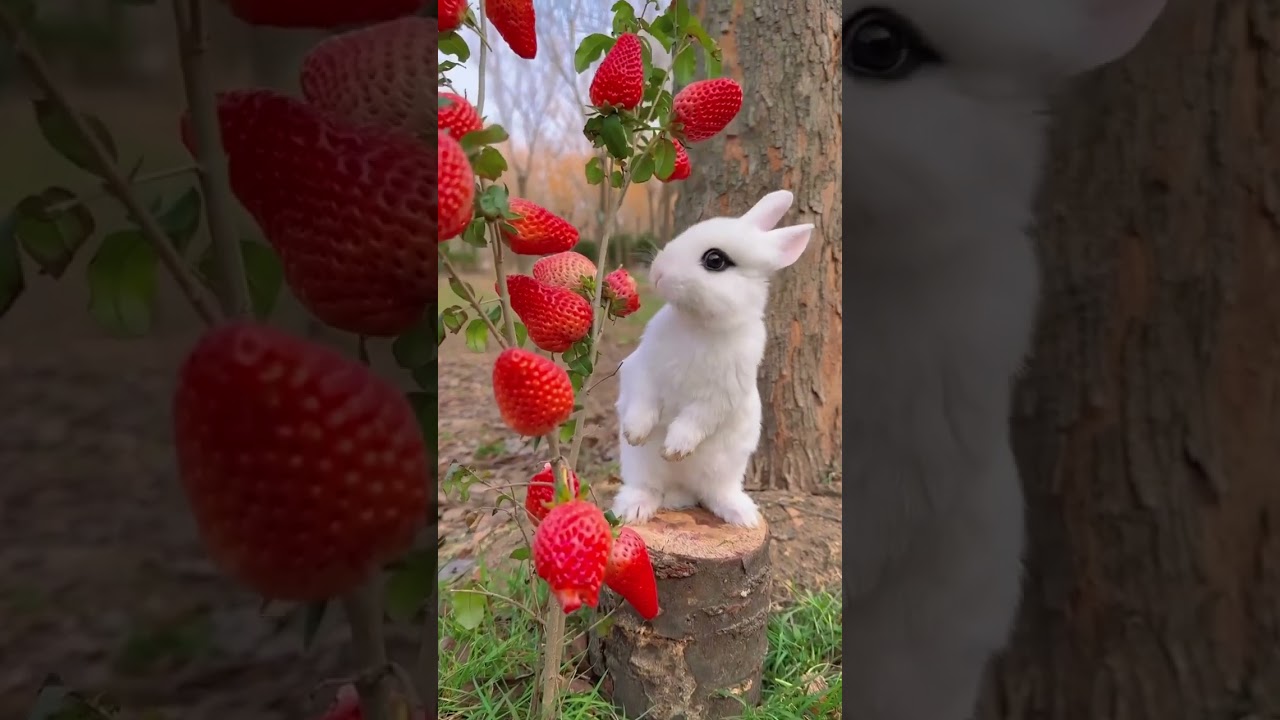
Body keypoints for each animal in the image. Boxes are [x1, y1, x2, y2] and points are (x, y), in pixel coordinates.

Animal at [612, 190, 814, 528]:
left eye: (715, 260)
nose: (658, 271)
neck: (699, 326)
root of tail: (680, 491)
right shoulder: (643, 368)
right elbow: (643, 399)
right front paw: (635, 432)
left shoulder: (723, 394)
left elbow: (696, 419)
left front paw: (674, 448)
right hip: (640, 466)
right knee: (647, 489)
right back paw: (632, 511)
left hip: (726, 469)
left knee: (714, 494)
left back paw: (743, 516)